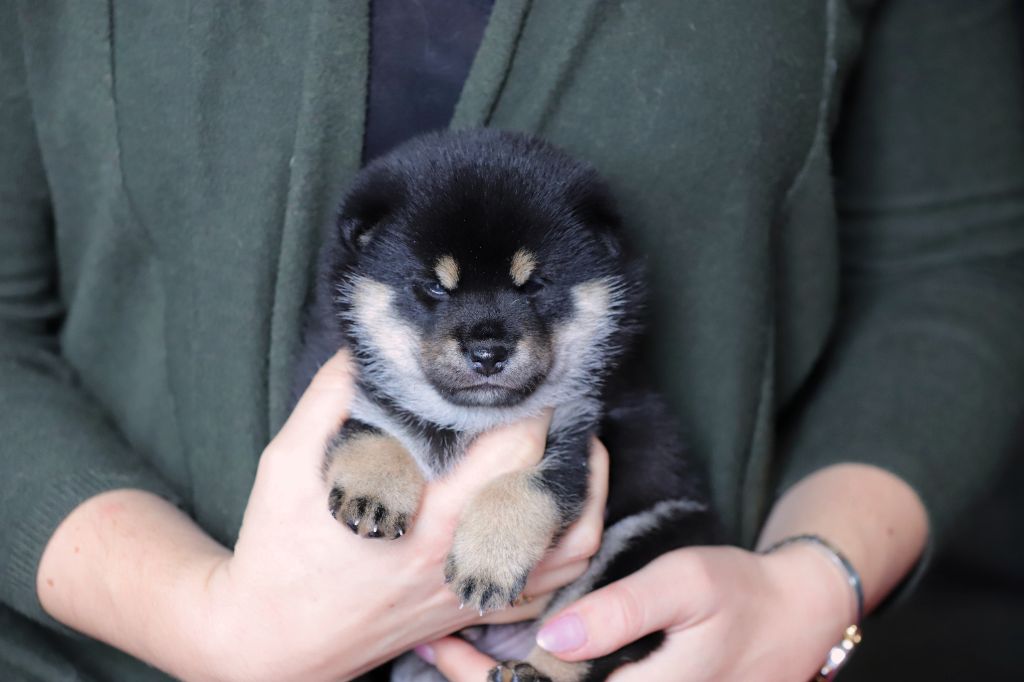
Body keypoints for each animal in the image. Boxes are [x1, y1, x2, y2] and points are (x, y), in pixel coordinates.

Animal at [293, 129, 718, 682]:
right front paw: (374, 490)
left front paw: (488, 560)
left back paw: (533, 671)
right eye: (434, 286)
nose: (488, 351)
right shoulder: (347, 384)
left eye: (534, 284)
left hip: (651, 534)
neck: (471, 418)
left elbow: (526, 488)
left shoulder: (581, 426)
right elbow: (370, 426)